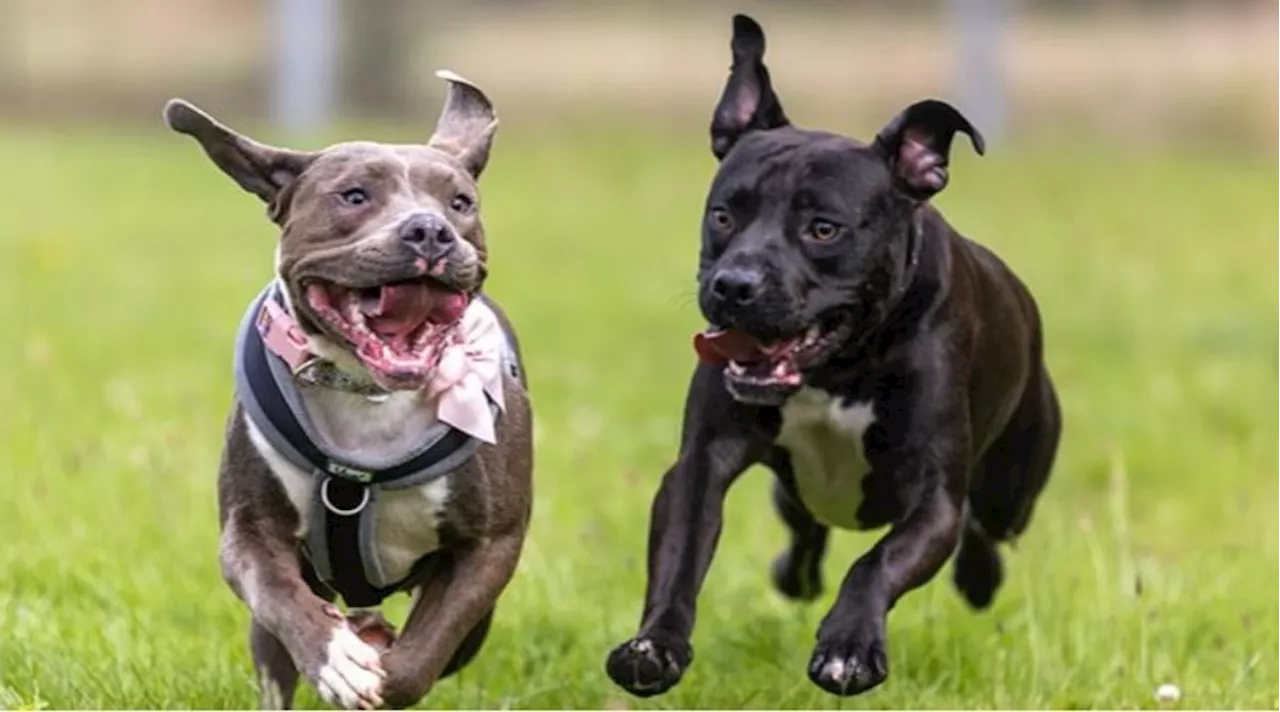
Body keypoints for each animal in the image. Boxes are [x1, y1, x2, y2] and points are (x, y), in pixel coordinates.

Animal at [604, 13, 1064, 696]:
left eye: (824, 229)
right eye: (723, 216)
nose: (734, 285)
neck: (839, 368)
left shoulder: (933, 497)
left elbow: (878, 562)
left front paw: (848, 648)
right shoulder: (701, 464)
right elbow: (679, 558)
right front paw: (654, 646)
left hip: (1014, 486)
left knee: (985, 529)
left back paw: (978, 581)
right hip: (795, 491)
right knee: (806, 533)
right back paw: (794, 573)